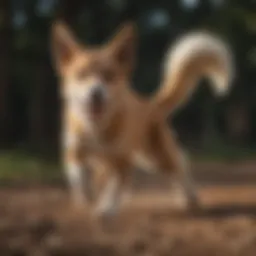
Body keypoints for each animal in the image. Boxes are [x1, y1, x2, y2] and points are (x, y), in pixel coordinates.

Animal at [51, 21, 233, 219]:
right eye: (81, 75)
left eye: (109, 76)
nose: (96, 93)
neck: (97, 127)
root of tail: (149, 104)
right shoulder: (74, 152)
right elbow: (78, 176)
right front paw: (87, 196)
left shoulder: (122, 162)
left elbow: (114, 188)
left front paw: (106, 209)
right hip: (138, 159)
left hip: (156, 157)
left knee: (180, 166)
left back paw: (189, 196)